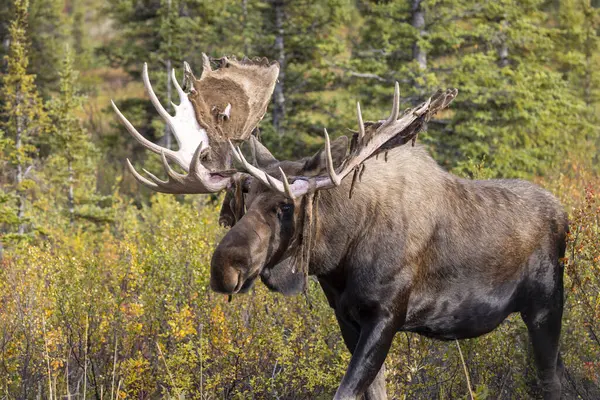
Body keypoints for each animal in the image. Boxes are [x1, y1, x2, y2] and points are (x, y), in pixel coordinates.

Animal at [111, 56, 568, 400]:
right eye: (241, 199)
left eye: (284, 205)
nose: (224, 267)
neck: (338, 257)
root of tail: (564, 213)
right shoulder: (347, 317)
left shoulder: (386, 313)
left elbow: (345, 391)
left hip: (546, 306)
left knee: (553, 380)